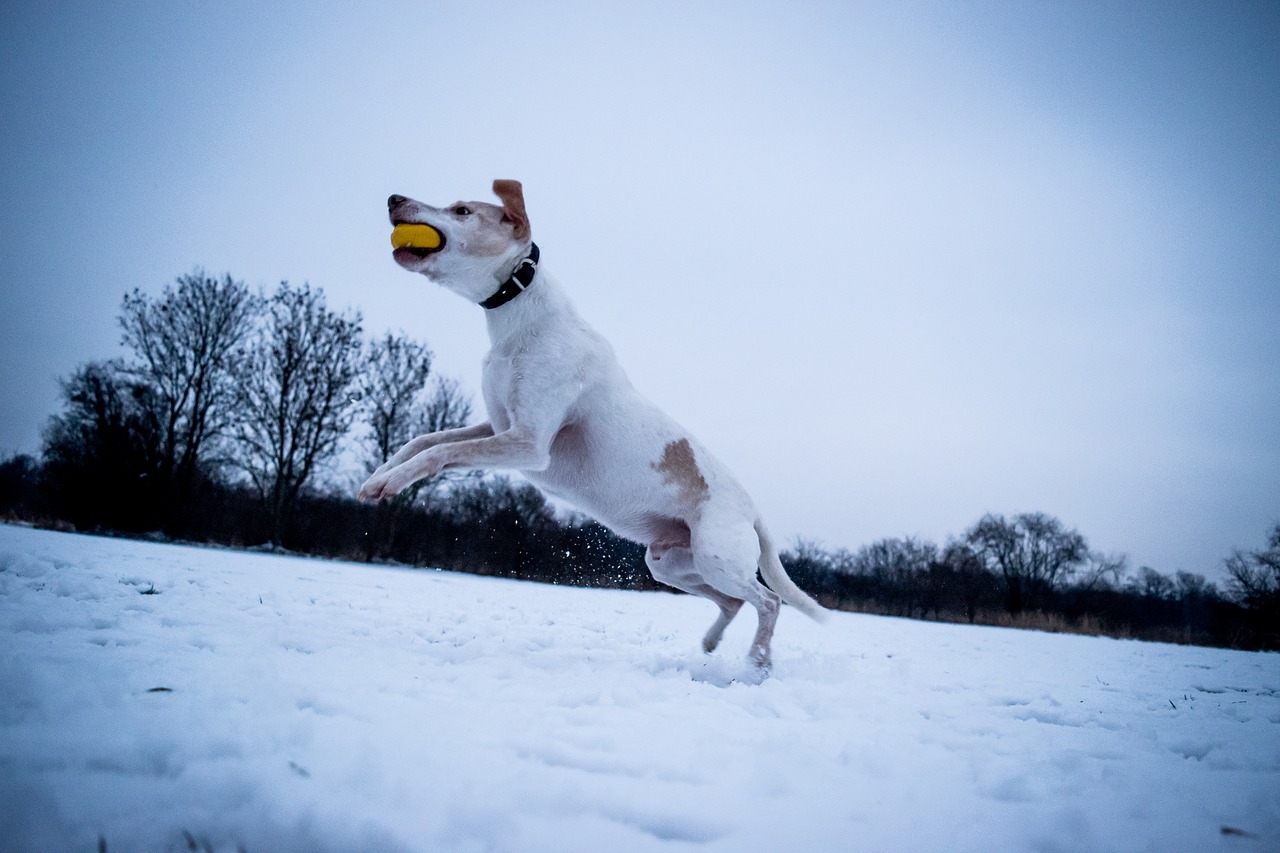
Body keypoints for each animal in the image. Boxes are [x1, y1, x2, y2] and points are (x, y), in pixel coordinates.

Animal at [360, 179, 824, 666]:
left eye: (462, 210)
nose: (393, 199)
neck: (520, 323)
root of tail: (753, 510)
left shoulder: (528, 442)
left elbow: (443, 451)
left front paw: (390, 483)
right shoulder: (498, 425)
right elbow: (425, 441)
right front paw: (377, 477)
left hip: (717, 556)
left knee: (769, 600)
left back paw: (758, 662)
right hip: (671, 562)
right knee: (734, 602)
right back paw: (713, 644)